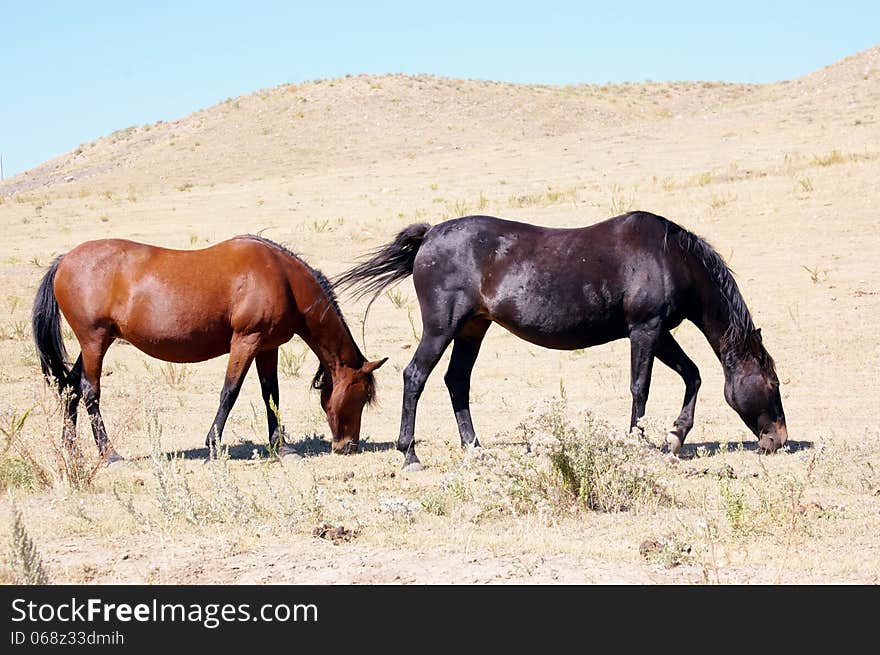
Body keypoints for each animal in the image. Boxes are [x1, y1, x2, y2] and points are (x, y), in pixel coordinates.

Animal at [32, 234, 384, 462]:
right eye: (360, 397)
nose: (348, 446)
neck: (282, 279)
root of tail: (64, 261)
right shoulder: (246, 341)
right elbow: (230, 391)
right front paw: (213, 446)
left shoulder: (266, 347)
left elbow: (270, 394)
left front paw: (282, 448)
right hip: (95, 340)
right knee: (90, 391)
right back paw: (109, 454)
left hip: (93, 343)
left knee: (71, 387)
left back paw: (72, 451)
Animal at [336, 213, 792, 468]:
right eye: (773, 383)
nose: (778, 440)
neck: (668, 256)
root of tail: (430, 236)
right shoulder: (646, 329)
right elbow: (640, 387)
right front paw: (640, 442)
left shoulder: (659, 331)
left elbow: (692, 375)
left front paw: (675, 436)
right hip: (442, 327)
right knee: (416, 376)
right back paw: (410, 454)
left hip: (472, 328)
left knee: (456, 382)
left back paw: (476, 450)